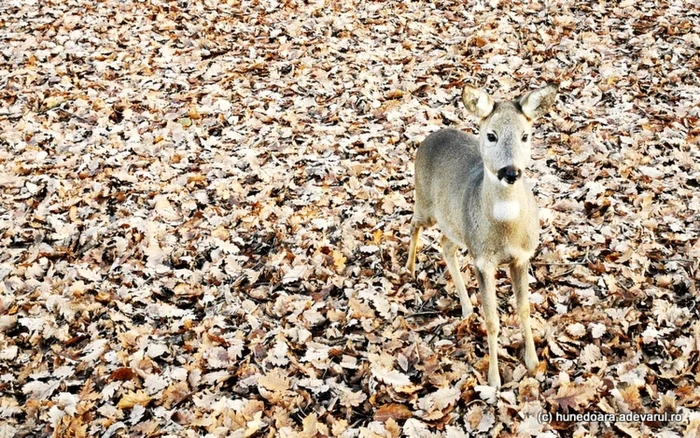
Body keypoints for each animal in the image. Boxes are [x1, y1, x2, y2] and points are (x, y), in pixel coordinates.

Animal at [404, 84, 556, 388]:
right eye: (491, 135)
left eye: (525, 135)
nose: (511, 172)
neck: (506, 230)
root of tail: (431, 136)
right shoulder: (483, 261)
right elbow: (492, 321)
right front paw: (494, 379)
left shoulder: (522, 256)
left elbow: (524, 308)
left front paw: (532, 361)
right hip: (425, 202)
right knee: (413, 224)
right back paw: (409, 267)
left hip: (455, 224)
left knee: (445, 246)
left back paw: (465, 307)